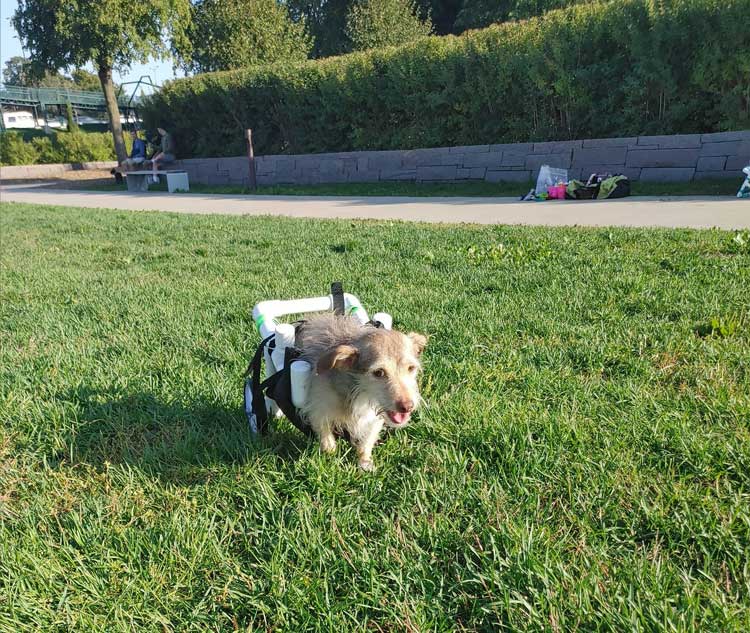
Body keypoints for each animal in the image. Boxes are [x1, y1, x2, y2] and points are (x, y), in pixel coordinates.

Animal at [298, 314, 428, 470]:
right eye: (379, 372)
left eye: (411, 368)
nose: (407, 407)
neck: (358, 393)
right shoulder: (318, 410)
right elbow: (326, 436)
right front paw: (330, 455)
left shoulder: (374, 418)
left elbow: (366, 442)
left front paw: (364, 462)